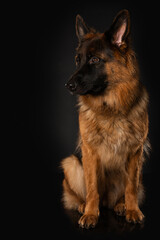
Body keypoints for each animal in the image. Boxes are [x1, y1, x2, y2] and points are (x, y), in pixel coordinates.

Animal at [60, 9, 149, 229]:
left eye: (94, 60)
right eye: (78, 59)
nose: (68, 85)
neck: (111, 108)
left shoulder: (135, 152)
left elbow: (131, 188)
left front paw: (133, 210)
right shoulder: (89, 152)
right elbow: (92, 188)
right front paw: (91, 214)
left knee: (126, 191)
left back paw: (121, 205)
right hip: (71, 163)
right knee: (84, 194)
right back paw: (84, 205)